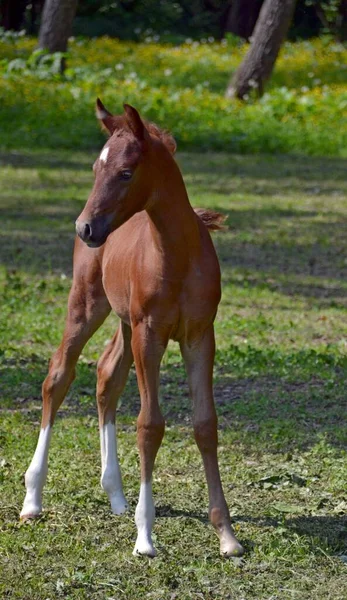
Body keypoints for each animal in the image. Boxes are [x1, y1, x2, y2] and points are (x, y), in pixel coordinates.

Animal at [21, 102, 245, 556]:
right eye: (95, 167)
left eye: (125, 172)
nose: (86, 227)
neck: (177, 254)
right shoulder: (150, 334)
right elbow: (149, 425)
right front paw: (145, 536)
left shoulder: (199, 336)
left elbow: (205, 424)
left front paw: (226, 535)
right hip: (88, 304)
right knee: (58, 375)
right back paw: (32, 498)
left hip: (123, 322)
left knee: (108, 376)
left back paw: (116, 494)